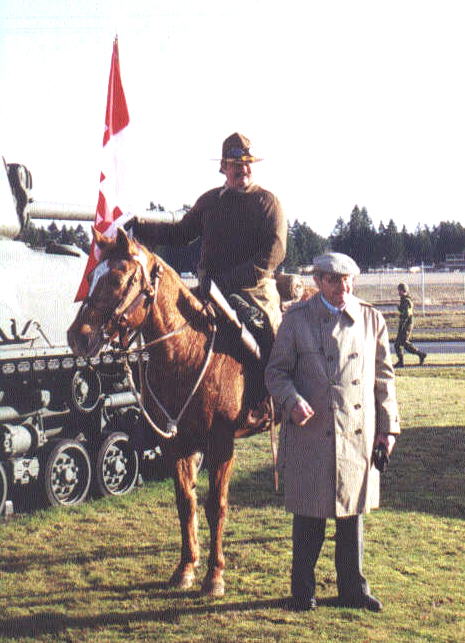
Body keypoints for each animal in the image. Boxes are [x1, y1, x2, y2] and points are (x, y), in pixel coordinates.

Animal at [67, 228, 274, 600]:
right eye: (90, 277)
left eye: (117, 277)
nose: (78, 337)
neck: (188, 352)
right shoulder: (176, 443)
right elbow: (185, 502)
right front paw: (185, 568)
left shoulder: (221, 445)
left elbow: (216, 506)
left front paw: (215, 575)